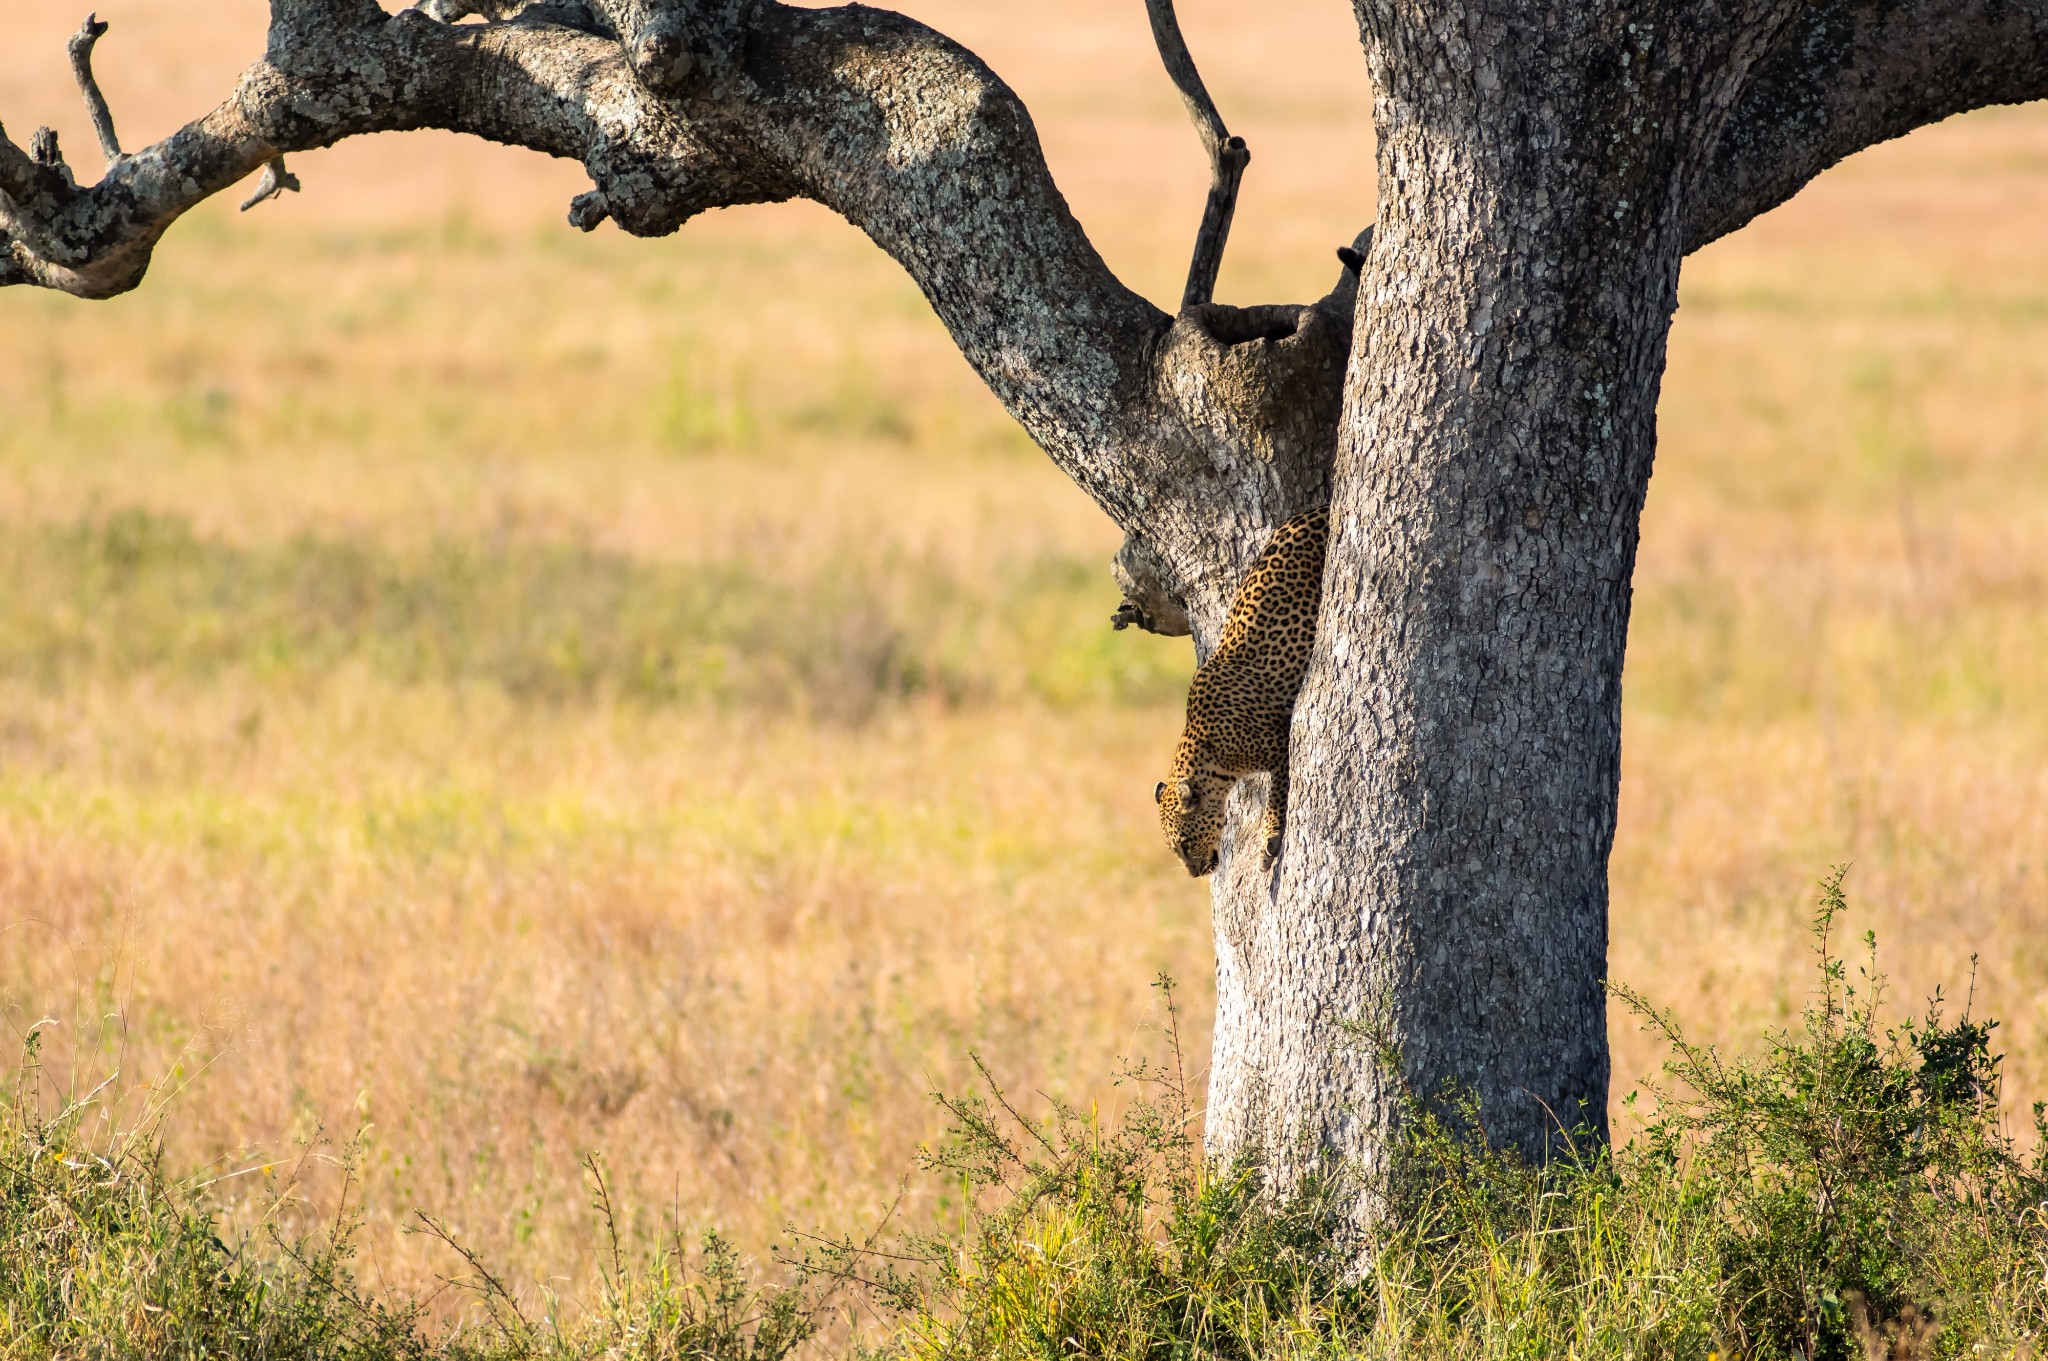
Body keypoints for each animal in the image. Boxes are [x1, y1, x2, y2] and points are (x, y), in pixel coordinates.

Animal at [1155, 503, 1327, 875]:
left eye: (1185, 843)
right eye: (1175, 850)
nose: (1193, 872)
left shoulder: (1280, 742)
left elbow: (1278, 791)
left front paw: (1270, 841)